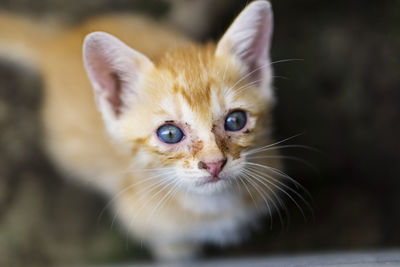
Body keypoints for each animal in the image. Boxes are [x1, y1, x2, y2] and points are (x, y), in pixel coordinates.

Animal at [0, 0, 282, 260]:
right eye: (170, 134)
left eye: (235, 121)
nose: (214, 164)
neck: (213, 207)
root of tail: (59, 40)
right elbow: (174, 250)